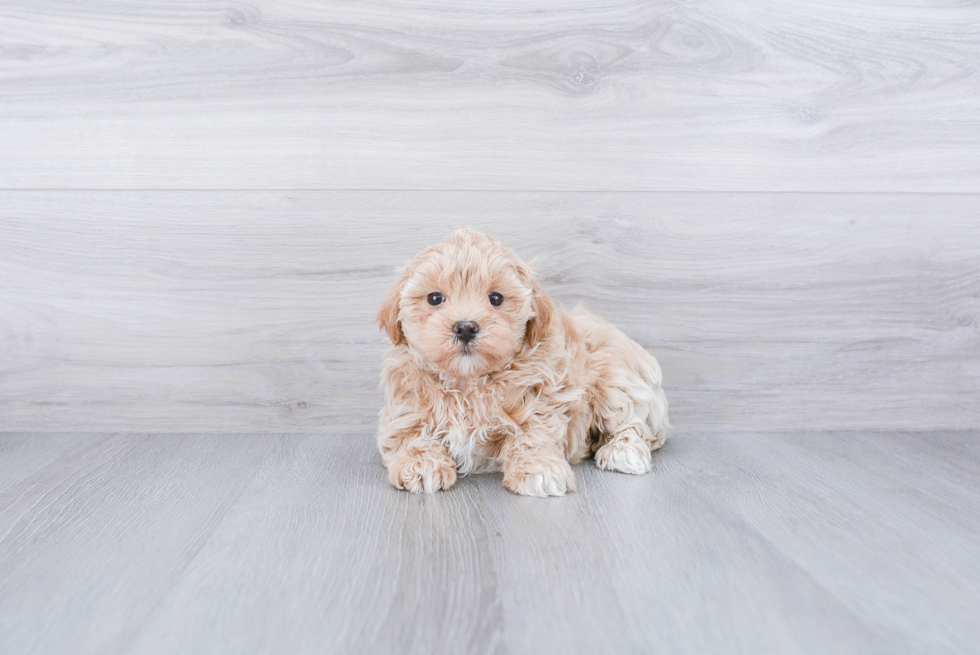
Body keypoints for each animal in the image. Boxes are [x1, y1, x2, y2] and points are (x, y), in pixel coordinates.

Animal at [374, 231, 668, 498]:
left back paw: (623, 451)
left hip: (617, 377)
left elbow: (533, 435)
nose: (466, 327)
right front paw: (421, 465)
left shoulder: (542, 400)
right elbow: (410, 436)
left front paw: (539, 471)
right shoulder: (406, 407)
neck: (468, 382)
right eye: (435, 298)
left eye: (496, 298)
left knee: (630, 422)